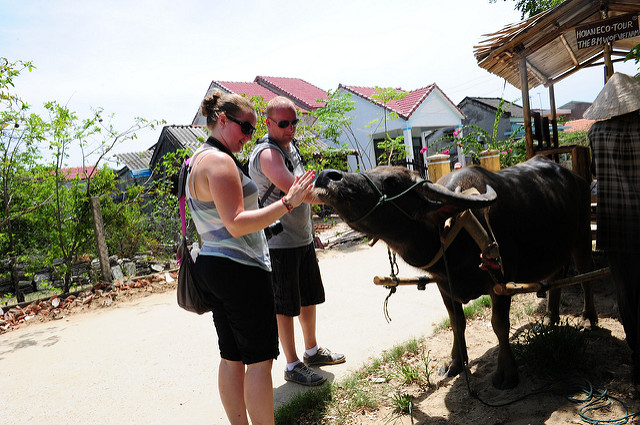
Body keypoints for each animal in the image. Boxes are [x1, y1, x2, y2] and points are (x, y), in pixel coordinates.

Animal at [316, 156, 596, 388]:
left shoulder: (501, 281)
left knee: (586, 277)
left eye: (393, 181)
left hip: (582, 235)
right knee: (555, 277)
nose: (326, 176)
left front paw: (507, 373)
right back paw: (549, 318)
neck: (451, 230)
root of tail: (578, 178)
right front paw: (455, 363)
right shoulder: (444, 286)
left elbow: (499, 325)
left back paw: (587, 319)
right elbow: (457, 323)